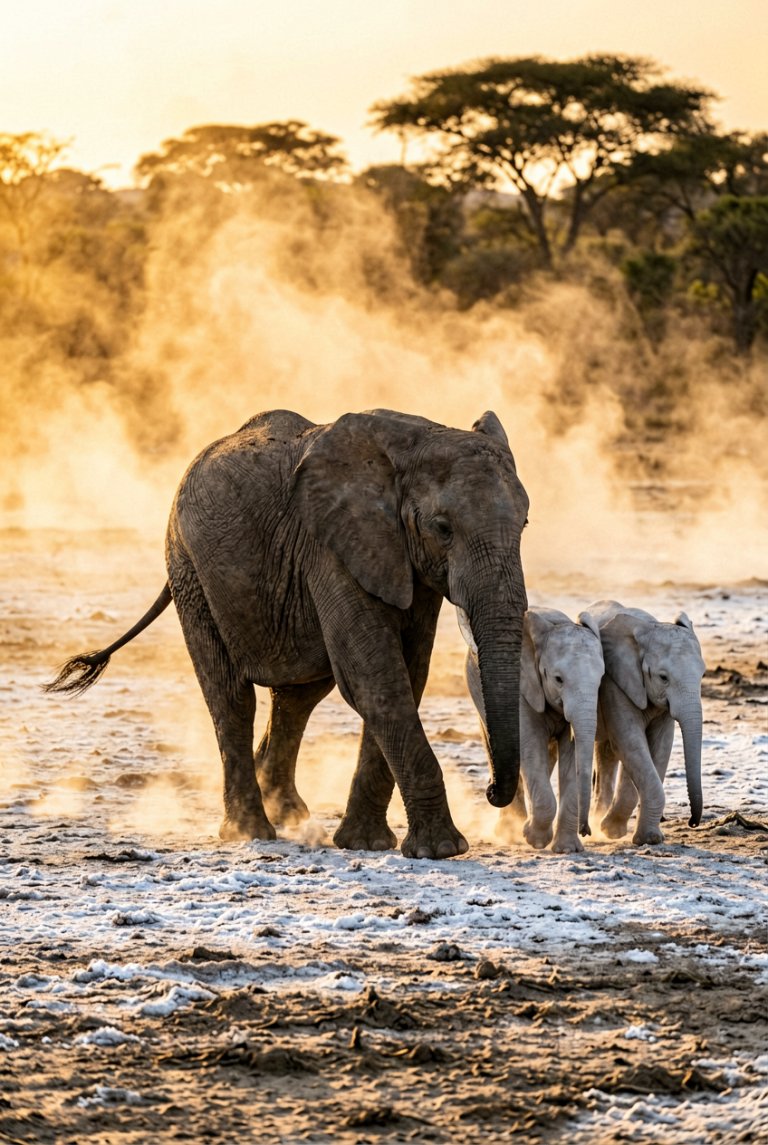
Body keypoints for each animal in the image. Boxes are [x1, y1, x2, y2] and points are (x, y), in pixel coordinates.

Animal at [45, 408, 530, 860]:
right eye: (442, 528)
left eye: (525, 524)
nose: (491, 791)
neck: (416, 438)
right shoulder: (331, 547)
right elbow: (375, 679)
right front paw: (441, 849)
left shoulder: (400, 558)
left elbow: (406, 675)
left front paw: (366, 844)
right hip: (189, 568)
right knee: (232, 696)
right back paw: (251, 831)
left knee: (298, 695)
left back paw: (286, 812)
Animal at [462, 607, 604, 853]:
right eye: (558, 679)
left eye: (601, 681)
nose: (586, 830)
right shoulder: (523, 688)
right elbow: (531, 745)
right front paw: (534, 838)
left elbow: (570, 752)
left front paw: (567, 849)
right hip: (475, 687)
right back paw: (508, 832)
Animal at [588, 600, 706, 845]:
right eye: (663, 677)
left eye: (703, 675)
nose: (692, 823)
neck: (650, 626)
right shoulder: (615, 682)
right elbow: (631, 744)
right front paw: (624, 834)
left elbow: (660, 747)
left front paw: (635, 835)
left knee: (606, 752)